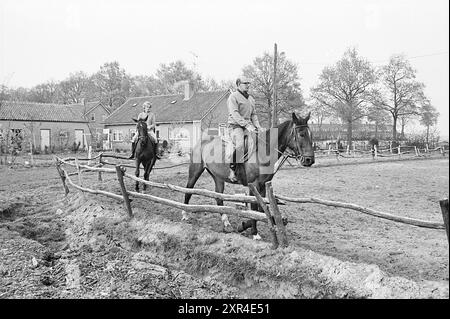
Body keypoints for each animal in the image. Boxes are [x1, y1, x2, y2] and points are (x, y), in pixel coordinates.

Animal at [181, 112, 314, 240]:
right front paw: (255, 233)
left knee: (218, 197)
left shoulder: (263, 186)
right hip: (195, 172)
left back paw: (226, 224)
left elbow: (261, 209)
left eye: (310, 134)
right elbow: (254, 209)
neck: (263, 152)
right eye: (301, 134)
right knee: (188, 190)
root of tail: (201, 142)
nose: (309, 160)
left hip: (218, 177)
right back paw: (184, 215)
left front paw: (243, 226)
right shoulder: (253, 185)